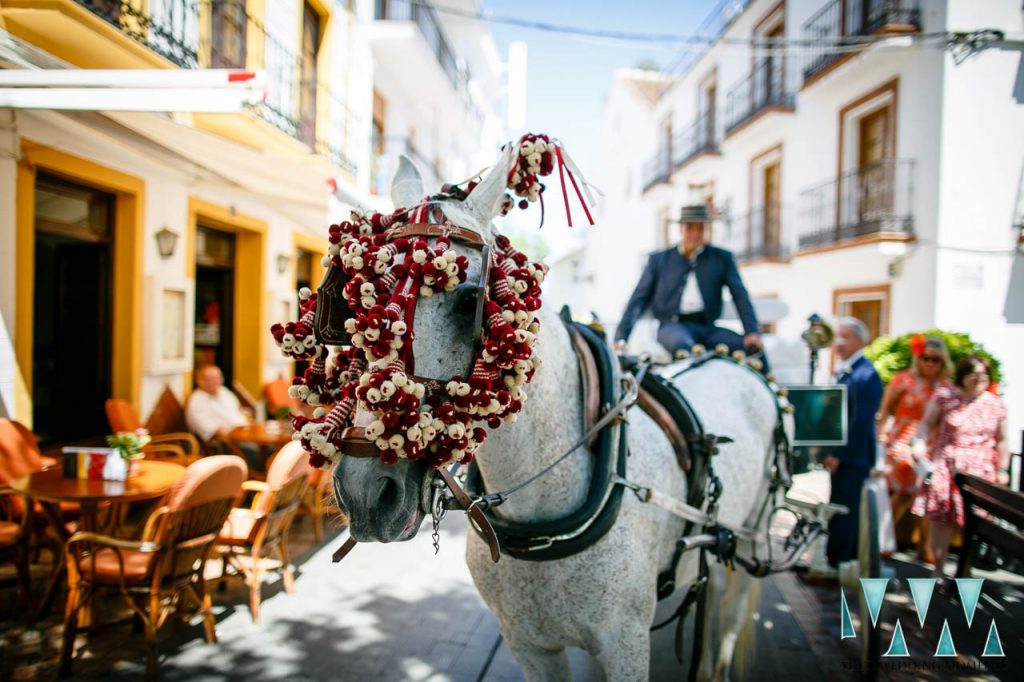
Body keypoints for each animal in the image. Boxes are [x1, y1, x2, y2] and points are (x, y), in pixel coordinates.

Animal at [331, 148, 778, 679]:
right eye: (354, 303)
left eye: (470, 302)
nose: (366, 494)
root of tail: (735, 361)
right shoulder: (529, 644)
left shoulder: (626, 646)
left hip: (751, 540)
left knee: (730, 614)